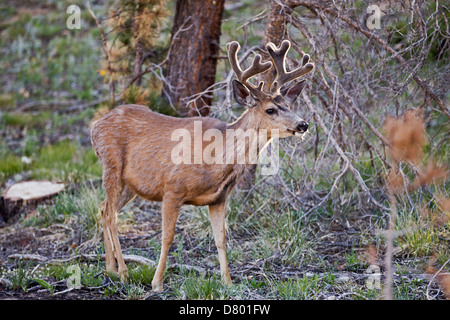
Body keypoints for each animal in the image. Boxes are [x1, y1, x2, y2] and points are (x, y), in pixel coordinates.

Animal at [90, 38, 314, 292]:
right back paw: (124, 273)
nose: (303, 124)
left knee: (104, 208)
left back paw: (110, 268)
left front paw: (228, 282)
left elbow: (221, 238)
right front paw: (157, 283)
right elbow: (167, 236)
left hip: (131, 184)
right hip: (111, 165)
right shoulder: (172, 189)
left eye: (289, 105)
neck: (217, 159)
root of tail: (95, 125)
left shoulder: (219, 198)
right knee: (111, 215)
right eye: (271, 109)